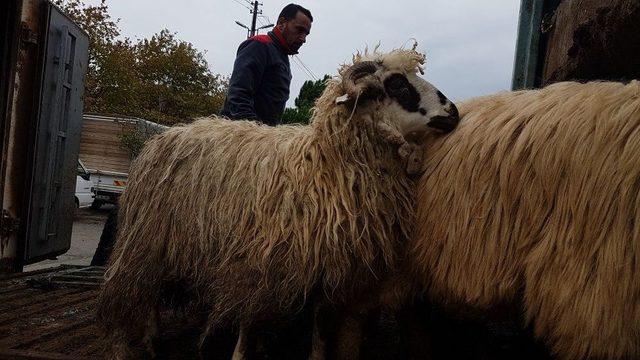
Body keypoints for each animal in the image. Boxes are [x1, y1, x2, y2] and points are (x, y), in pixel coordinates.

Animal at [95, 46, 460, 358]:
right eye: (397, 84)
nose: (453, 111)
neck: (325, 167)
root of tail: (164, 136)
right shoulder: (260, 260)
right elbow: (249, 319)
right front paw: (241, 353)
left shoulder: (325, 264)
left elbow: (319, 323)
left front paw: (313, 354)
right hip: (146, 237)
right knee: (134, 288)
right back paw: (133, 342)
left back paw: (153, 337)